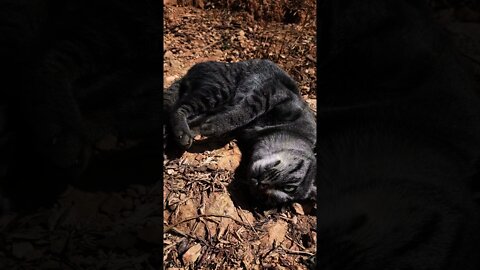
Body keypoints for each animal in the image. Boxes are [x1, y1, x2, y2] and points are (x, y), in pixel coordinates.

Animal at [163, 59, 316, 207]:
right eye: (289, 187)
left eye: (266, 199)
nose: (261, 184)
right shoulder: (268, 94)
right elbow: (242, 113)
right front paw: (211, 126)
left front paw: (199, 128)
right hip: (219, 88)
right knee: (179, 107)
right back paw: (182, 133)